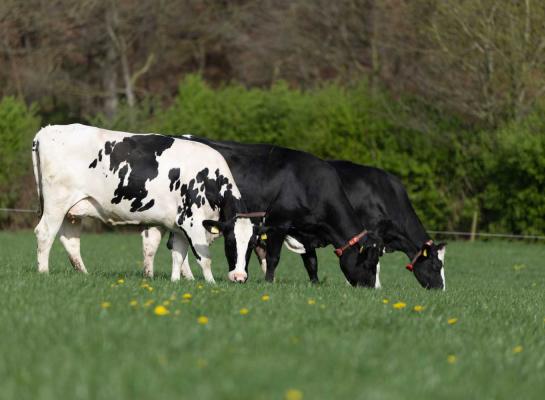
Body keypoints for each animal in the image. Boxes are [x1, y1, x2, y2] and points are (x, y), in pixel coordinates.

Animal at [31, 123, 262, 282]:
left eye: (252, 245)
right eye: (230, 242)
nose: (240, 277)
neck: (209, 177)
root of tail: (47, 130)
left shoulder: (178, 225)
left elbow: (178, 255)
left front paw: (176, 282)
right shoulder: (192, 221)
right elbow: (204, 257)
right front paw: (212, 284)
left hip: (73, 210)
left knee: (70, 240)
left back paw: (84, 274)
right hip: (56, 203)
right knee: (45, 233)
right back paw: (43, 272)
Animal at [139, 136, 382, 286]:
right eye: (369, 264)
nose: (370, 288)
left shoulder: (304, 232)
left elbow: (311, 261)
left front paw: (314, 284)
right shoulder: (278, 223)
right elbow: (274, 257)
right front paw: (269, 282)